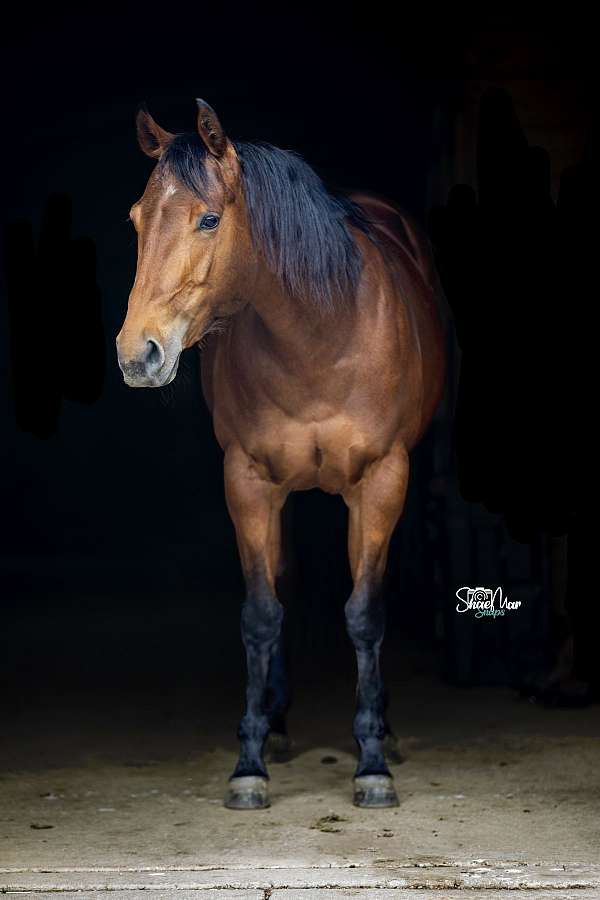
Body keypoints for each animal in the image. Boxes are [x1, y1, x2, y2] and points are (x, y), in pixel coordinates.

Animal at [116, 99, 445, 809]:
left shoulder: (383, 480)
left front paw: (372, 761)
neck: (319, 336)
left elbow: (365, 614)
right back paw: (278, 725)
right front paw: (249, 761)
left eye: (210, 218)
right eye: (135, 219)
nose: (138, 354)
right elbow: (262, 615)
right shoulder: (248, 482)